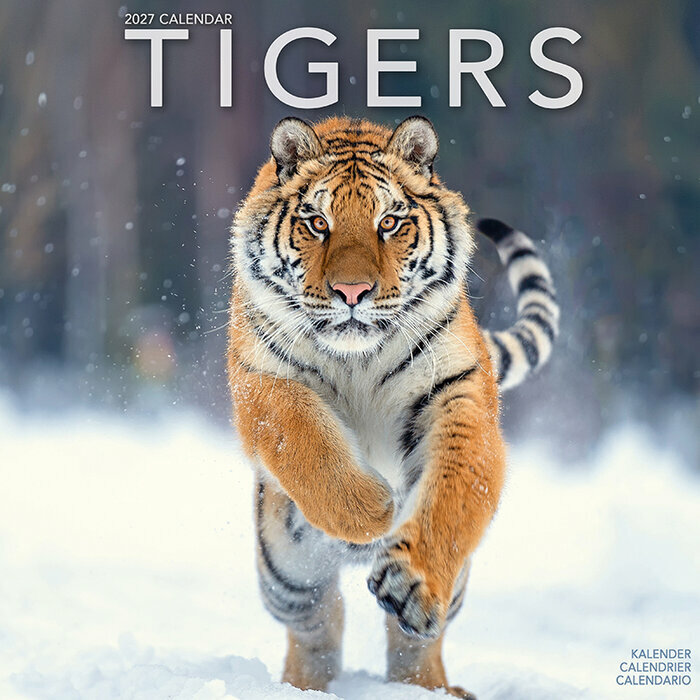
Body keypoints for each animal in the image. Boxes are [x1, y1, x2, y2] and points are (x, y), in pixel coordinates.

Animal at [227, 115, 559, 698]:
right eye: (317, 222)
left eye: (389, 222)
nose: (352, 291)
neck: (358, 357)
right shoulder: (261, 379)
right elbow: (303, 439)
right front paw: (373, 509)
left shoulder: (457, 392)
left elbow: (455, 490)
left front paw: (412, 580)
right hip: (285, 573)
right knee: (317, 623)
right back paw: (302, 686)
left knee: (413, 641)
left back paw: (429, 686)